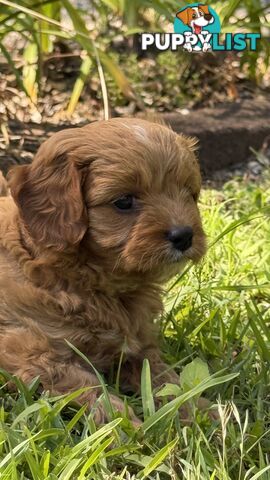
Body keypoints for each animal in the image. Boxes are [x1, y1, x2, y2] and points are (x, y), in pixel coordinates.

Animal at [0, 119, 207, 424]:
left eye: (188, 194)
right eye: (124, 202)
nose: (184, 236)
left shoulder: (139, 350)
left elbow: (166, 380)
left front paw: (203, 412)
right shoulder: (34, 356)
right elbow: (91, 390)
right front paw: (127, 427)